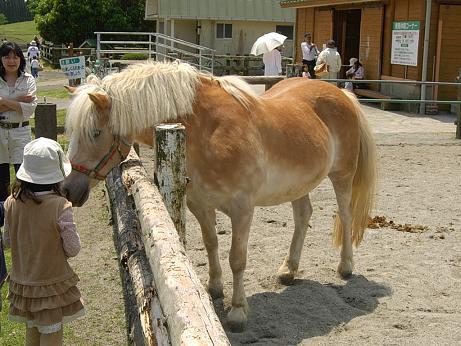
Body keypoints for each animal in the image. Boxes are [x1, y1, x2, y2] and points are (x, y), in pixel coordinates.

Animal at [62, 60, 378, 332]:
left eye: (96, 132)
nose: (68, 189)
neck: (206, 131)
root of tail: (341, 94)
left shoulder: (242, 210)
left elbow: (236, 259)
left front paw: (237, 311)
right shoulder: (200, 205)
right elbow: (211, 243)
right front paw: (214, 287)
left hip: (342, 177)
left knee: (345, 216)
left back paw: (345, 266)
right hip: (298, 184)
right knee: (303, 216)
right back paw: (288, 270)